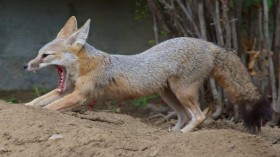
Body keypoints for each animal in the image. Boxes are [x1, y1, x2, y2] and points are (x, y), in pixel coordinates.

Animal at [24, 16, 272, 133]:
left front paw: (41, 114)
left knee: (199, 116)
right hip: (169, 95)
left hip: (182, 93)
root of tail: (207, 44)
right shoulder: (66, 89)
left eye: (45, 56)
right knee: (184, 116)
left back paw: (183, 135)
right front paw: (25, 108)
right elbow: (37, 101)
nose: (26, 66)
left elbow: (50, 107)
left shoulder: (80, 95)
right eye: (37, 54)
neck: (84, 67)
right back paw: (169, 134)